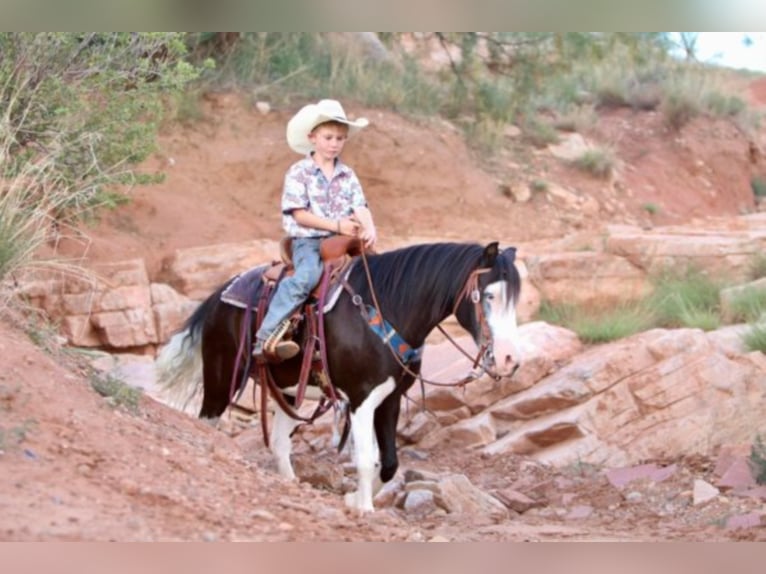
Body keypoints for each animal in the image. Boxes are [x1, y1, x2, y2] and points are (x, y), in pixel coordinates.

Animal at [158, 240, 524, 512]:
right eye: (488, 295)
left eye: (515, 299)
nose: (510, 359)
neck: (387, 309)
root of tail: (222, 291)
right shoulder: (361, 399)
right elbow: (364, 459)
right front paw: (364, 508)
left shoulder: (389, 398)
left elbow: (388, 463)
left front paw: (354, 499)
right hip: (222, 378)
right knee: (207, 421)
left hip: (287, 391)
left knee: (279, 442)